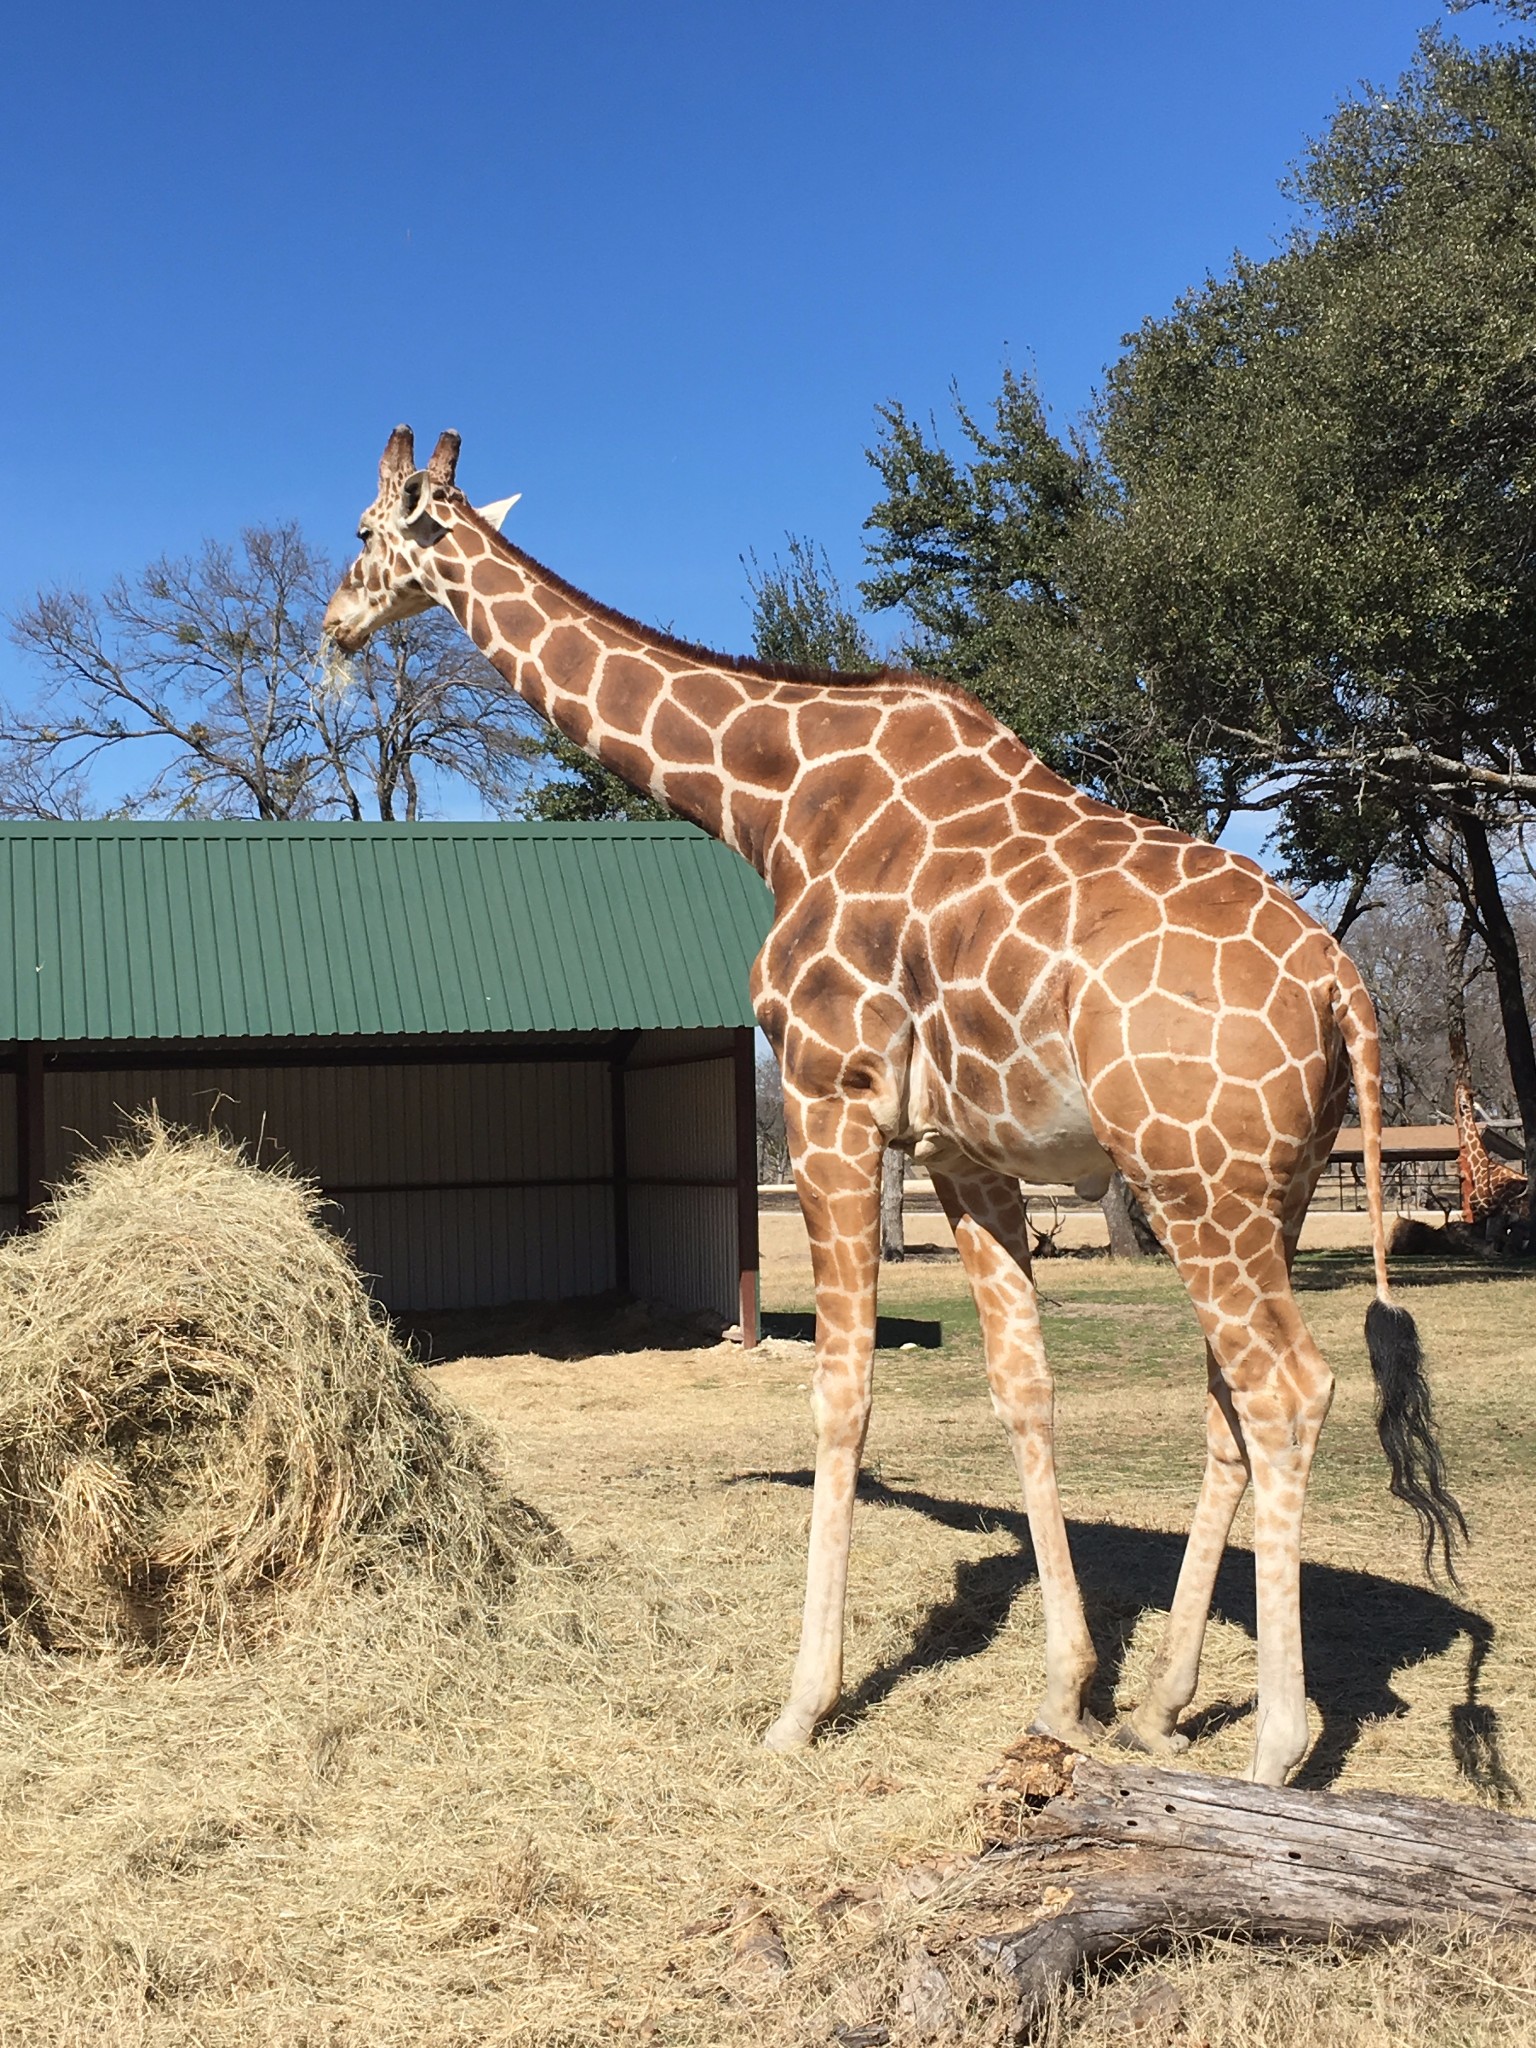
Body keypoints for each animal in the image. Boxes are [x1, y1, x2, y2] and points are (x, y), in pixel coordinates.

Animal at [325, 423, 1466, 1785]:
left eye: (359, 531)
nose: (334, 626)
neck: (774, 804)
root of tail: (1343, 979)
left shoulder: (832, 1096)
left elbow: (841, 1388)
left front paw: (799, 1705)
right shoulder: (962, 1150)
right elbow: (1022, 1390)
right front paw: (1067, 1691)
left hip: (1198, 1175)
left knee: (1288, 1390)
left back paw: (1276, 1751)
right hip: (1268, 1188)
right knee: (1229, 1407)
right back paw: (1164, 1703)